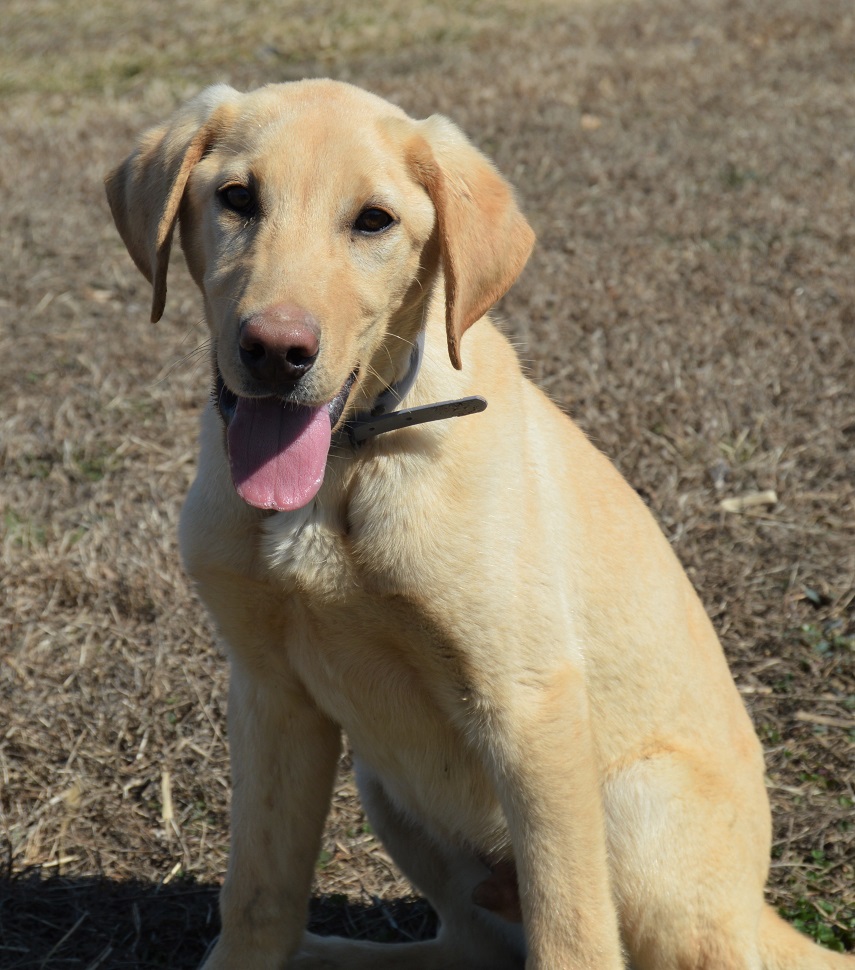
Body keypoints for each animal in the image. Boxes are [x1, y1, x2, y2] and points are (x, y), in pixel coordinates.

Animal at [103, 81, 852, 968]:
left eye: (374, 221)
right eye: (237, 199)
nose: (276, 350)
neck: (347, 465)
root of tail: (753, 907)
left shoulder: (529, 704)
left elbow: (571, 933)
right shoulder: (268, 693)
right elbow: (257, 894)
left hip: (634, 806)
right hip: (386, 787)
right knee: (464, 943)